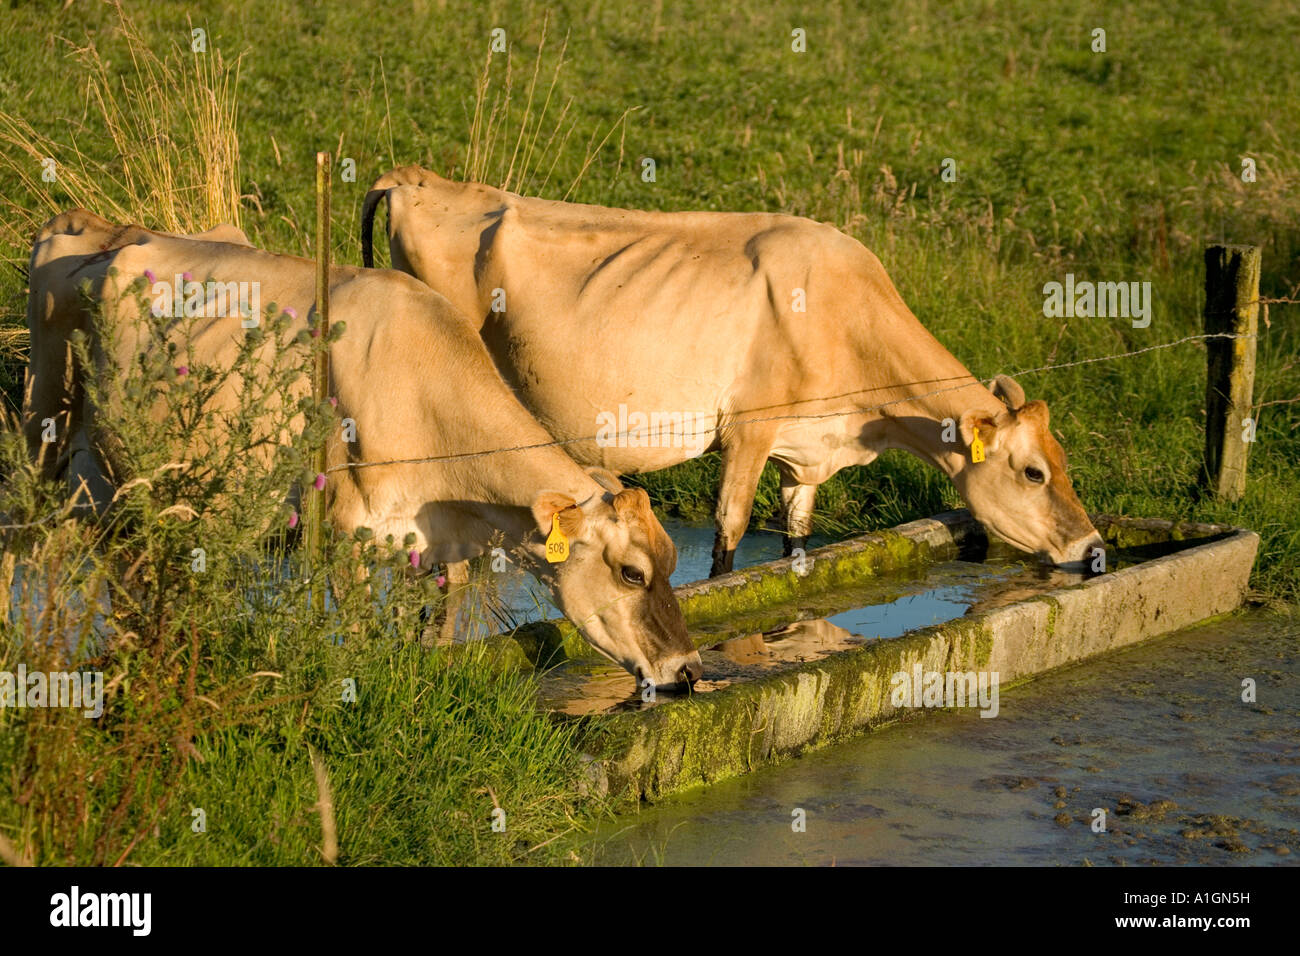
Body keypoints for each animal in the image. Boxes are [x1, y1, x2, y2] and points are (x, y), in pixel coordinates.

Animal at [24, 209, 702, 689]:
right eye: (632, 572)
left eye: (672, 563)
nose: (690, 668)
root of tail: (95, 226)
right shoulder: (345, 534)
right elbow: (353, 638)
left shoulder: (436, 547)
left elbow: (437, 630)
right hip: (44, 423)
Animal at [362, 166, 1105, 576]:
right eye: (1033, 473)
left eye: (1064, 462)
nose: (1096, 546)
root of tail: (417, 178)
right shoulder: (748, 430)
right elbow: (730, 535)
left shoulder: (805, 452)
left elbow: (795, 539)